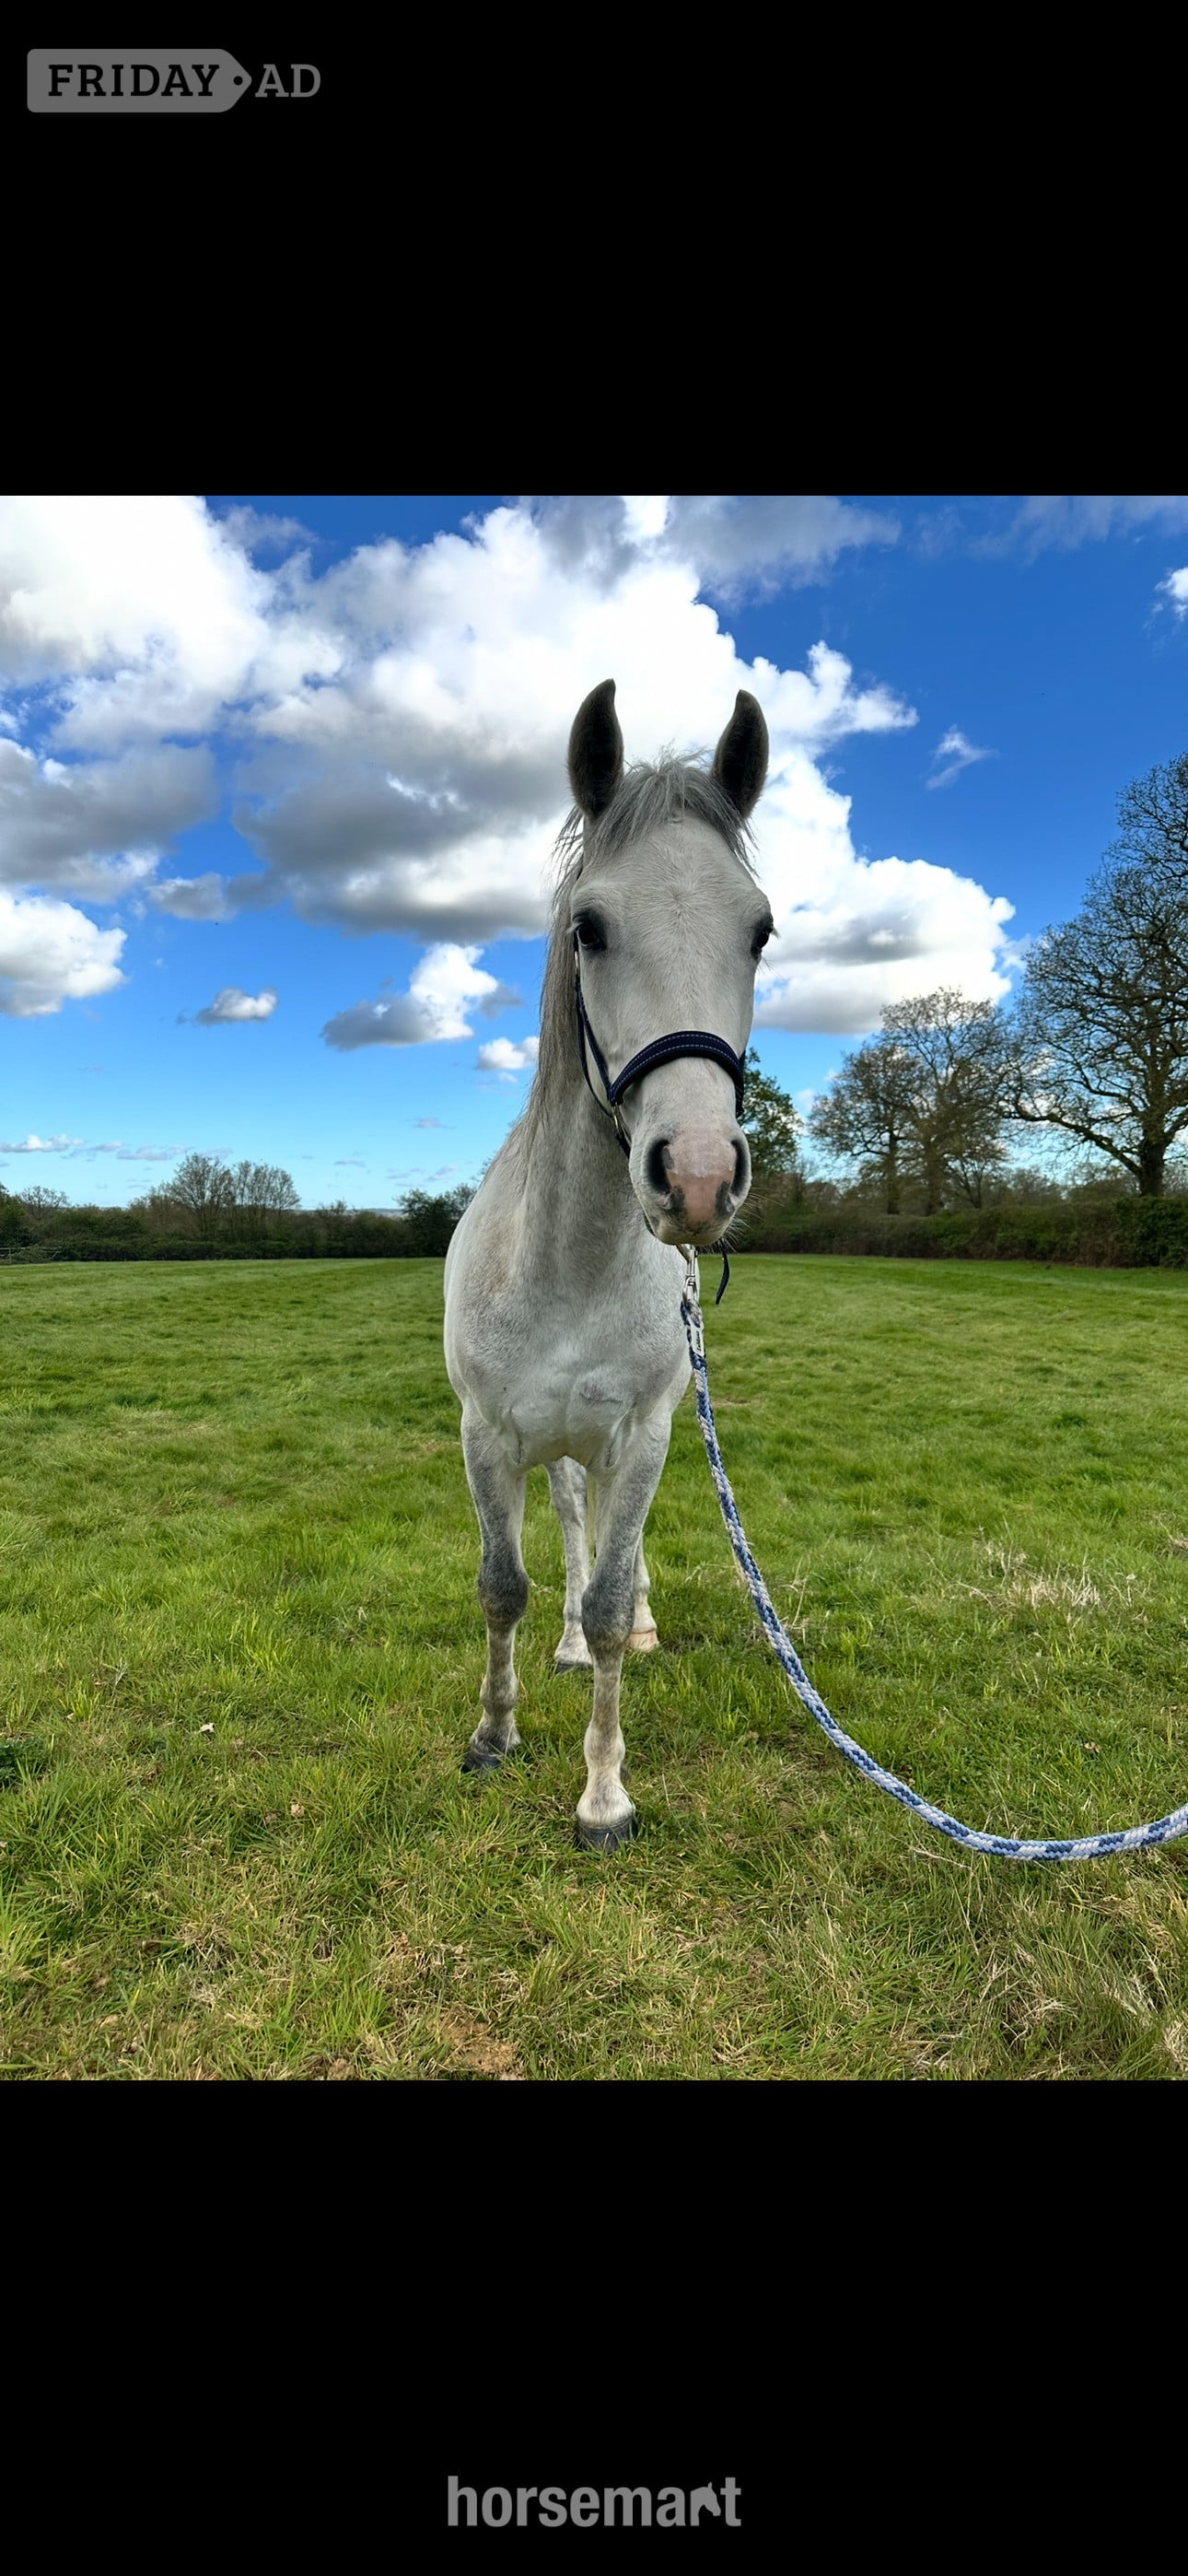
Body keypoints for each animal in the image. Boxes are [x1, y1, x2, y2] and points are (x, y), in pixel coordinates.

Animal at [443, 678, 772, 1848]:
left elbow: (612, 1585)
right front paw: (493, 1736)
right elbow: (505, 1584)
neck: (568, 1266)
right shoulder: (486, 1435)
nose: (700, 1175)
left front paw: (602, 1794)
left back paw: (625, 1636)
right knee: (568, 1521)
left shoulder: (643, 1437)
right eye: (590, 926)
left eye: (759, 931)